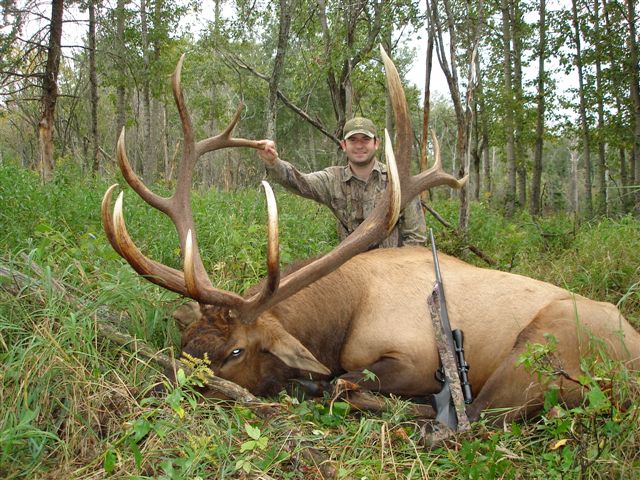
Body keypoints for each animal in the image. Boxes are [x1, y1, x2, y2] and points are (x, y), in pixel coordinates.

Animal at [102, 48, 640, 424]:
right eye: (187, 340)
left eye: (234, 351)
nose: (163, 388)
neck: (342, 316)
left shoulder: (419, 359)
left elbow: (342, 383)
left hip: (544, 349)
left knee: (479, 417)